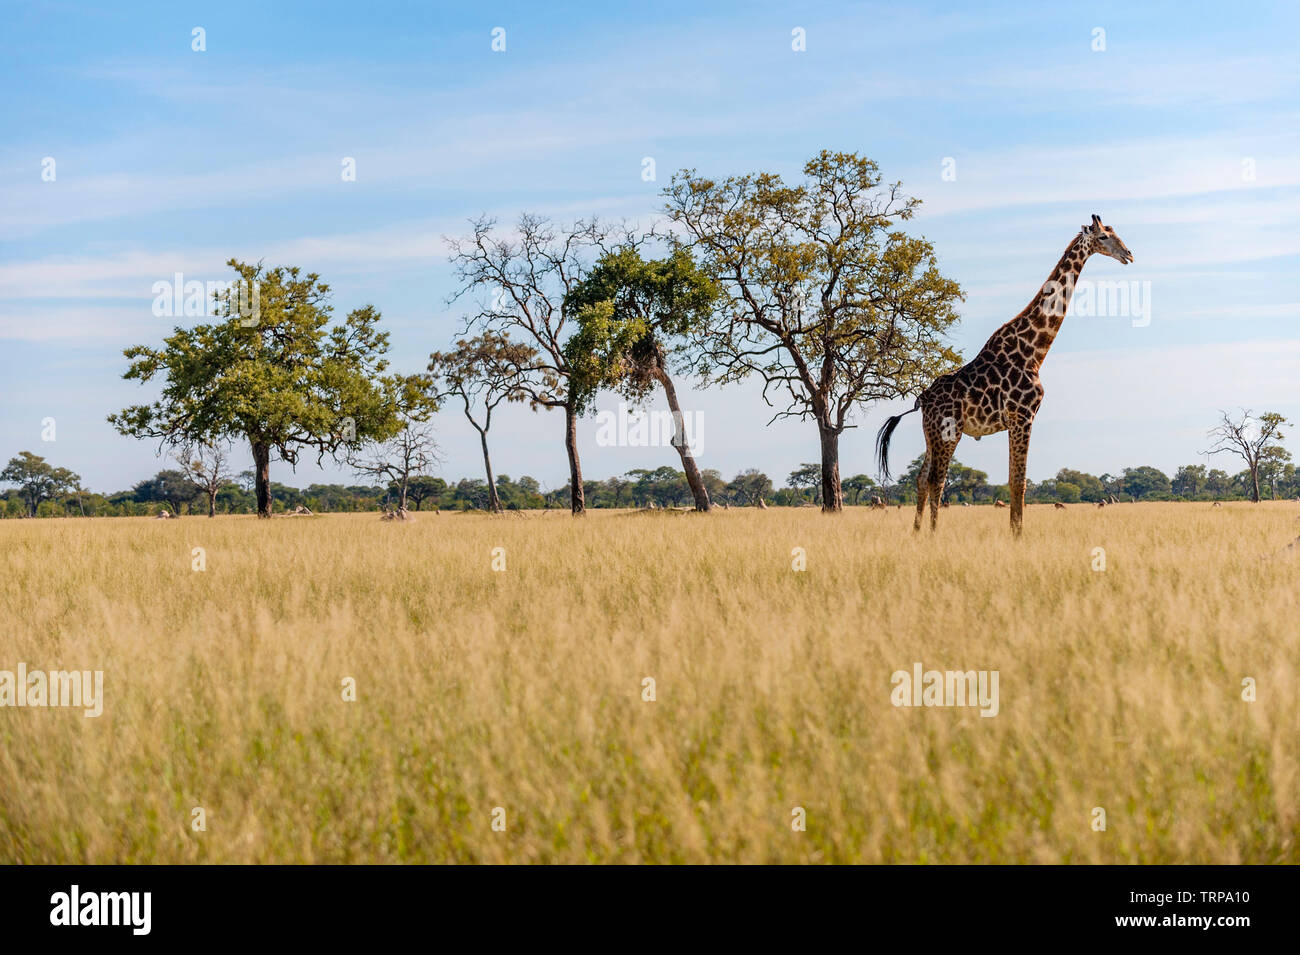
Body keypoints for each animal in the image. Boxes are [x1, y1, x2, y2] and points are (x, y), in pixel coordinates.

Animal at [873, 211, 1138, 535]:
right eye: (1103, 237)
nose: (1128, 254)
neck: (1034, 352)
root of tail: (922, 400)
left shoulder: (1016, 420)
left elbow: (1013, 481)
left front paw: (1015, 532)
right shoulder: (1023, 416)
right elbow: (1019, 483)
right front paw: (1018, 535)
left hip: (931, 434)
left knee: (922, 478)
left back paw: (917, 532)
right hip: (950, 431)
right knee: (937, 480)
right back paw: (934, 535)